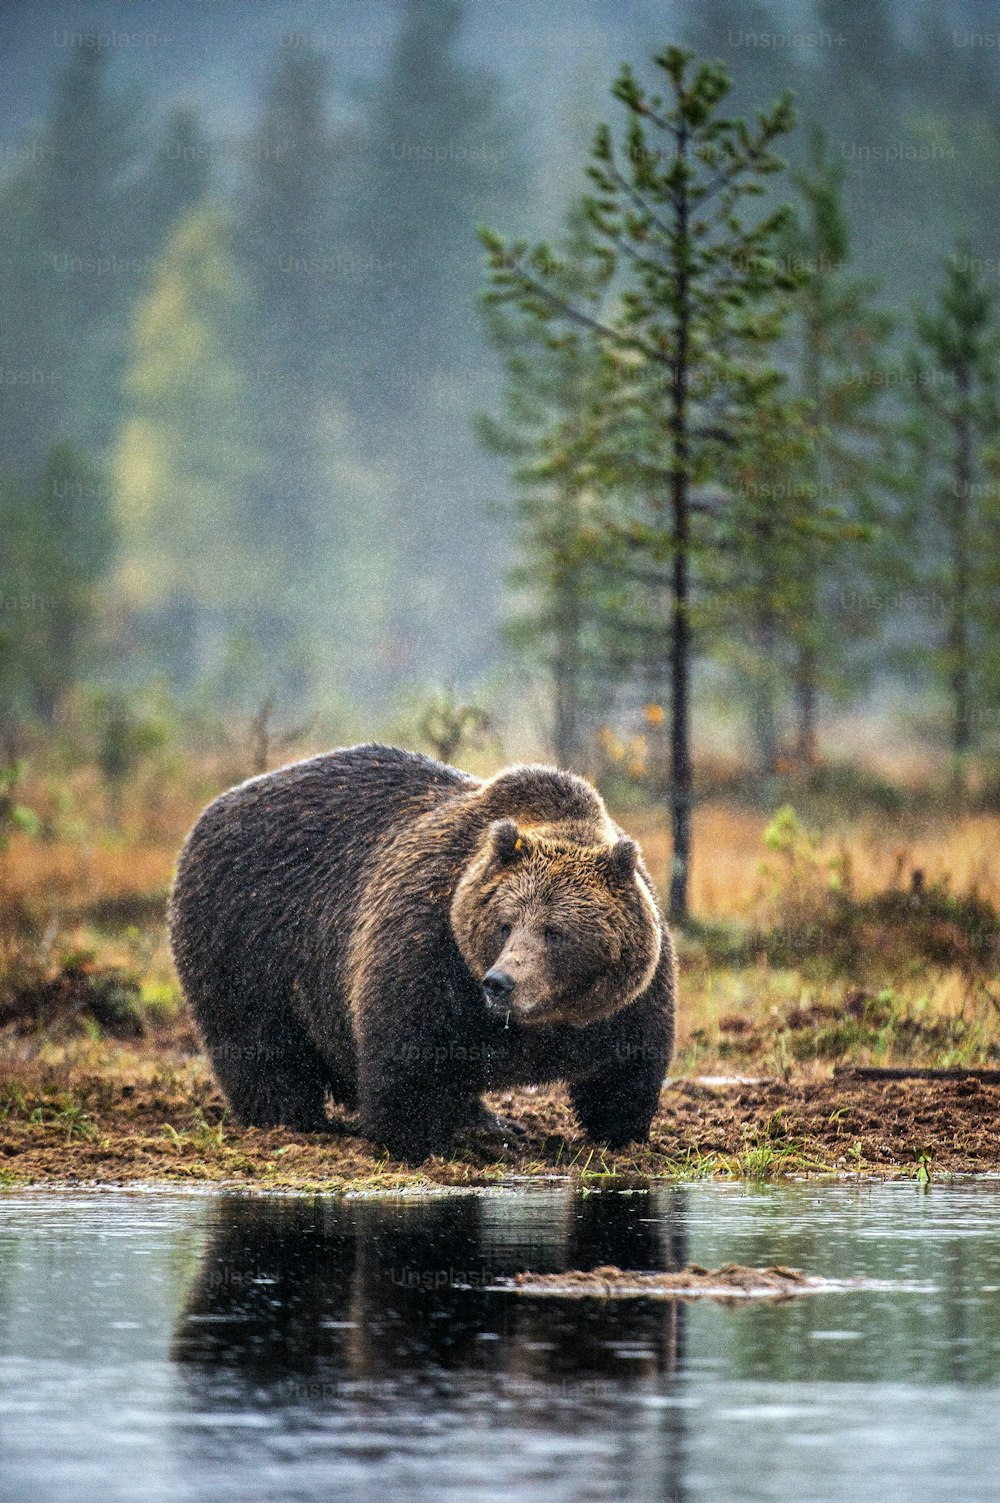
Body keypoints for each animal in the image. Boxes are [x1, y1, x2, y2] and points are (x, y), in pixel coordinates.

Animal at [167, 742, 673, 1160]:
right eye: (506, 923)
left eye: (555, 932)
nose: (500, 983)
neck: (544, 1022)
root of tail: (215, 808)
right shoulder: (428, 949)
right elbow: (406, 1059)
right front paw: (414, 1142)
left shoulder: (629, 1002)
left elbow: (626, 1073)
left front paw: (620, 1136)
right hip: (247, 935)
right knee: (260, 1045)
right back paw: (293, 1121)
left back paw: (491, 1121)